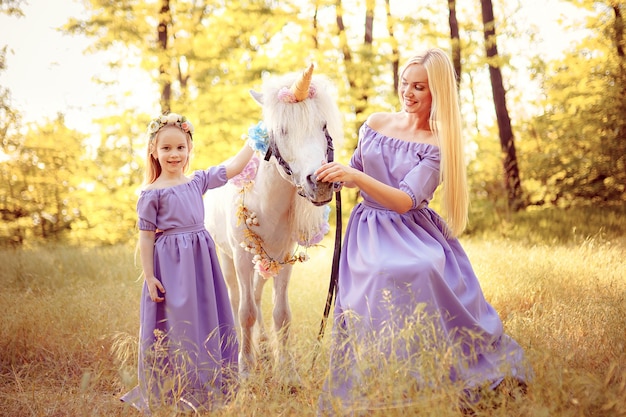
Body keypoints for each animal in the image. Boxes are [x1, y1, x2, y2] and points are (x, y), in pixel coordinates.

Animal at [205, 66, 342, 384]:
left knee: (256, 296)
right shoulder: (242, 257)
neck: (265, 201)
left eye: (323, 125)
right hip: (229, 259)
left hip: (264, 262)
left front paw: (287, 371)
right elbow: (245, 312)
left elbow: (281, 313)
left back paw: (266, 350)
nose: (320, 182)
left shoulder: (284, 258)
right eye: (282, 131)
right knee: (238, 299)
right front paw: (245, 369)